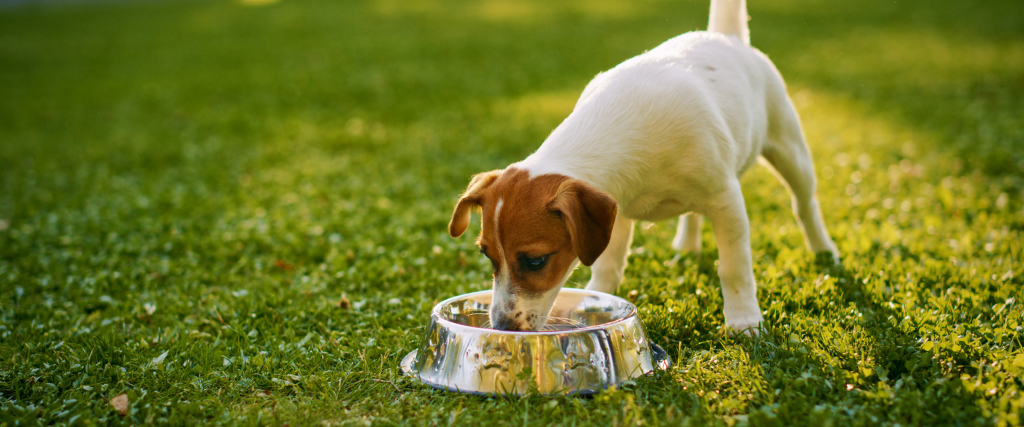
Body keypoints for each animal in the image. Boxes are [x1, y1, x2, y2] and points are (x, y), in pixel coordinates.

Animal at [450, 0, 839, 331]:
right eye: (486, 255)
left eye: (535, 261)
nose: (501, 327)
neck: (618, 126)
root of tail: (726, 36)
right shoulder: (617, 214)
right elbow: (608, 268)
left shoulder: (727, 200)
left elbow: (734, 268)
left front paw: (744, 322)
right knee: (693, 214)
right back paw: (686, 245)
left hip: (790, 150)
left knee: (804, 205)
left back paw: (825, 252)